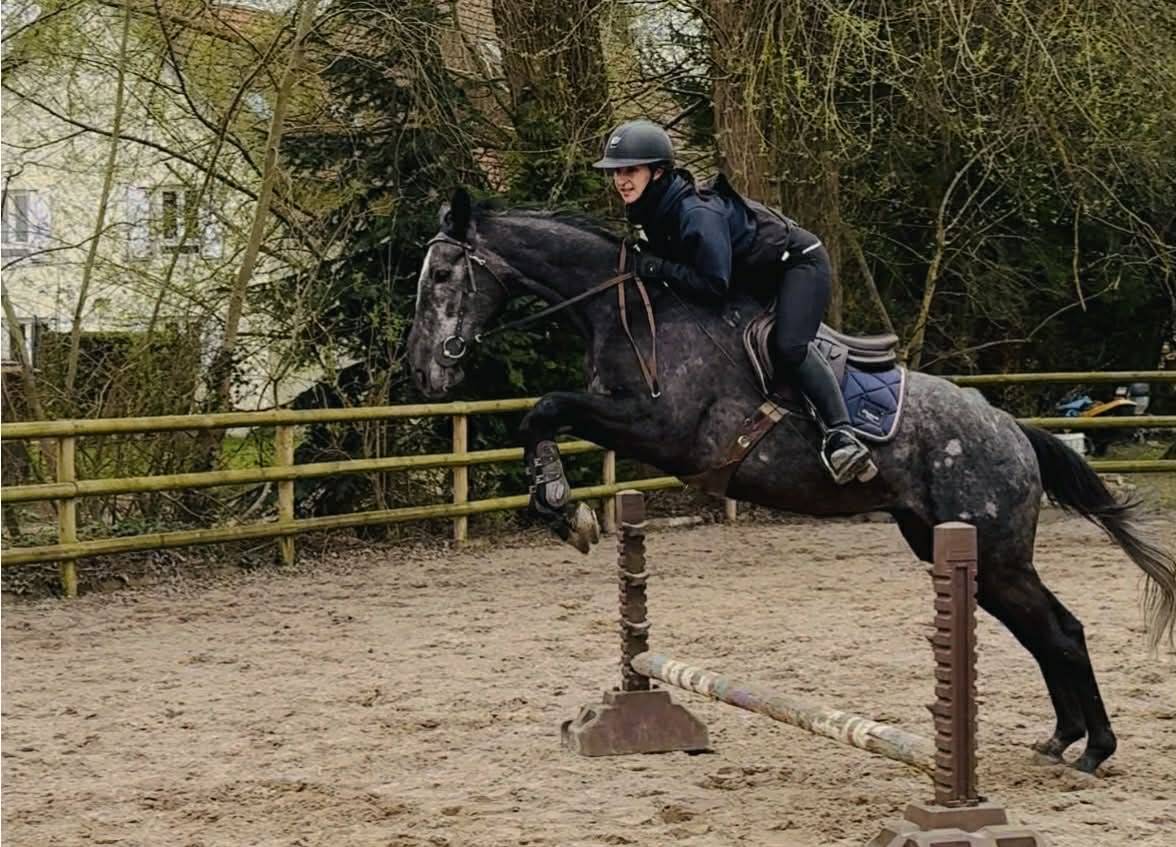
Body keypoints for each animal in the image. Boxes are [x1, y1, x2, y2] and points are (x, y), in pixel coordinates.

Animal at [405, 187, 1176, 774]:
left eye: (441, 276)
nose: (421, 371)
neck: (631, 310)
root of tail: (1014, 430)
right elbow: (545, 415)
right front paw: (561, 507)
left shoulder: (663, 429)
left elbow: (545, 407)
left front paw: (565, 509)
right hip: (960, 549)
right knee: (1042, 630)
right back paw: (1063, 740)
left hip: (992, 546)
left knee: (1062, 629)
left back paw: (1095, 747)